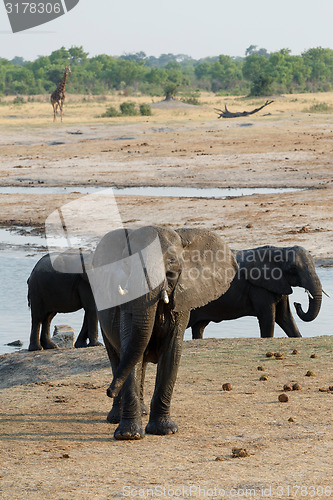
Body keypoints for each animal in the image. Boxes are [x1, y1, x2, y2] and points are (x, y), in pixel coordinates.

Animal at [89, 225, 237, 440]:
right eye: (127, 263)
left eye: (172, 262)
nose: (109, 390)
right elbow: (129, 345)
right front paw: (129, 435)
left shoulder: (182, 298)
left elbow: (171, 351)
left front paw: (165, 431)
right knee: (119, 358)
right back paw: (116, 417)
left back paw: (142, 411)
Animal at [189, 245, 322, 340]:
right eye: (293, 268)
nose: (297, 304)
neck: (280, 250)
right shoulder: (259, 288)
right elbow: (269, 318)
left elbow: (285, 317)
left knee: (198, 328)